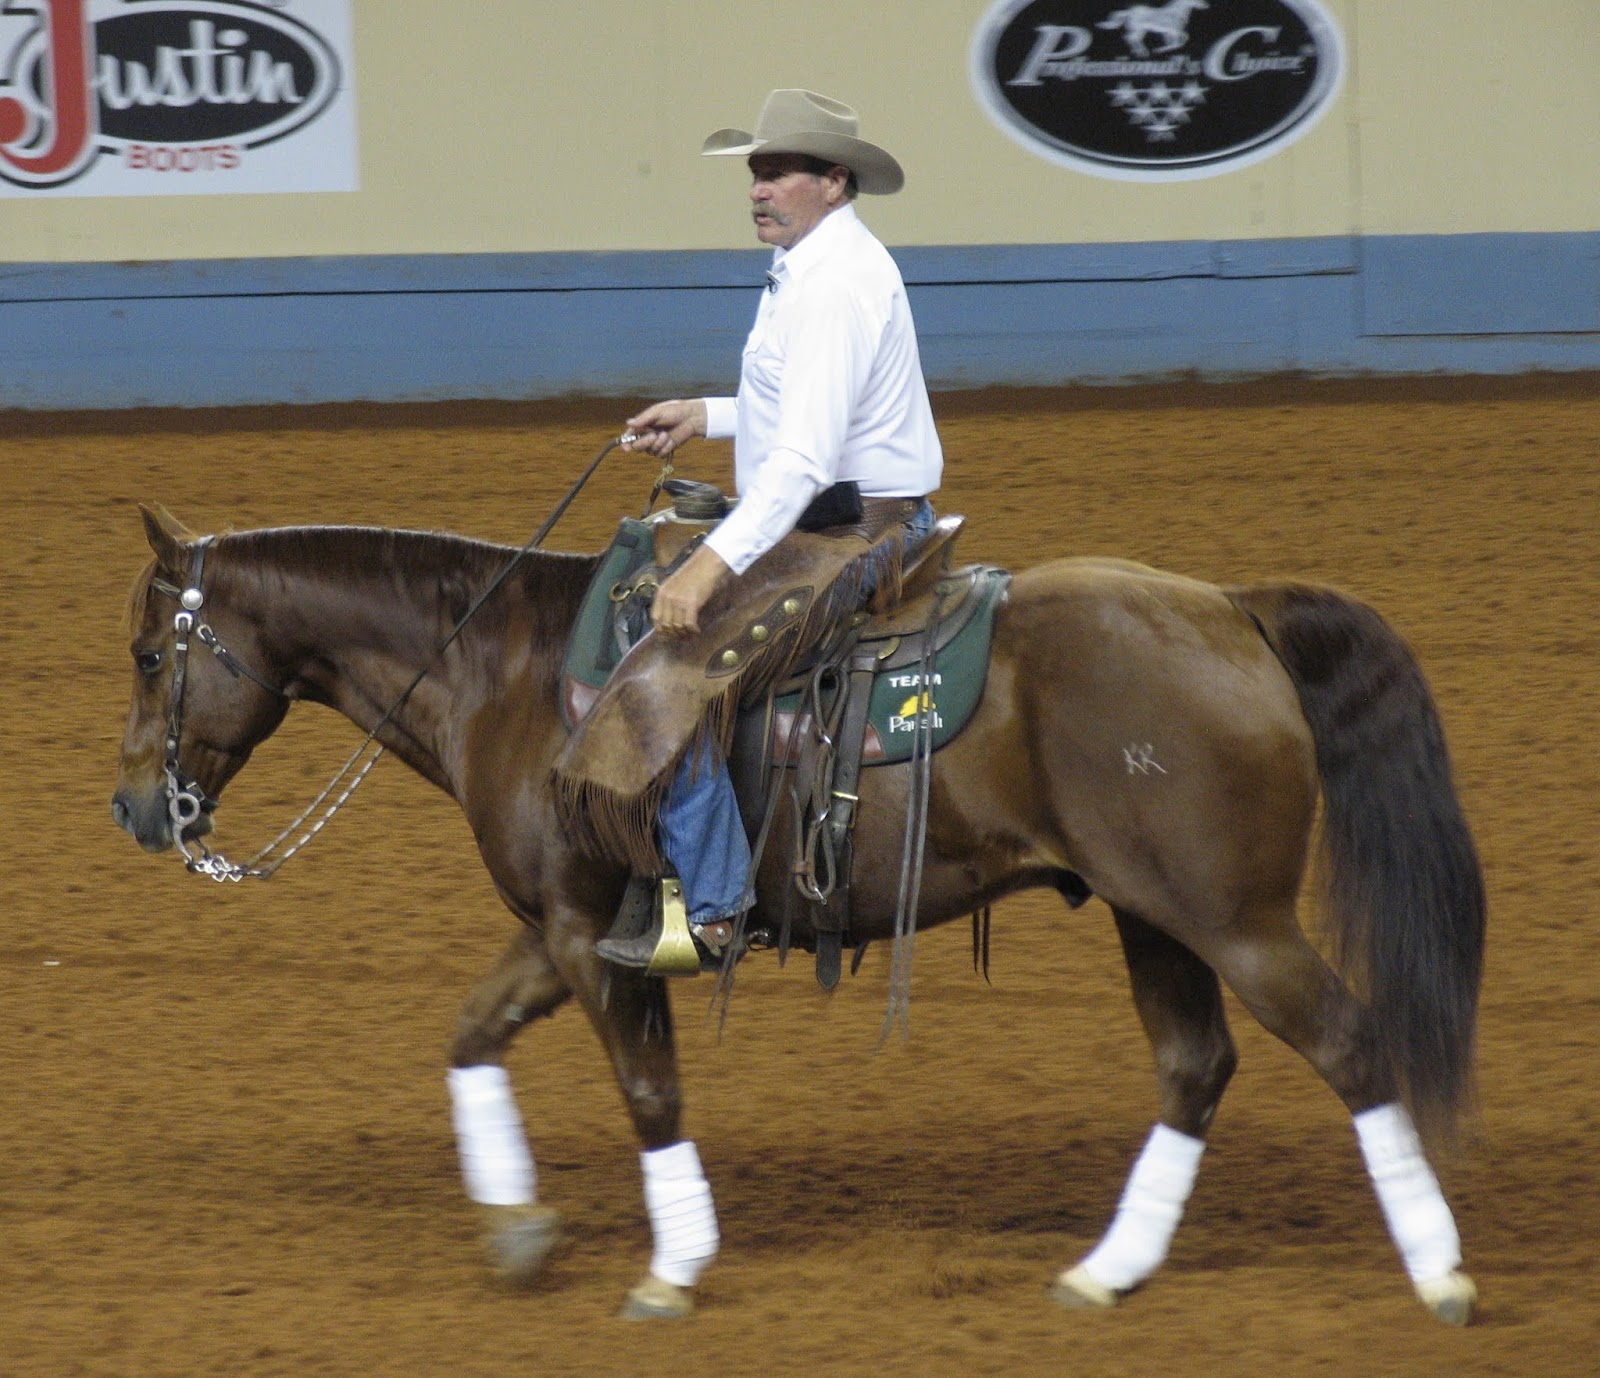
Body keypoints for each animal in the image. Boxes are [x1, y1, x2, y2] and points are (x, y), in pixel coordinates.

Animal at [112, 501, 1485, 1324]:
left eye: (146, 654)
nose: (133, 807)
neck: (504, 670)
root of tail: (1232, 606)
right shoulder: (559, 929)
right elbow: (468, 1033)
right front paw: (516, 1229)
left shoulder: (589, 935)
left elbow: (648, 1091)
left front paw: (671, 1268)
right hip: (1153, 913)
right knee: (1195, 1065)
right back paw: (1108, 1269)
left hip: (1234, 917)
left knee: (1349, 1045)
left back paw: (1439, 1274)